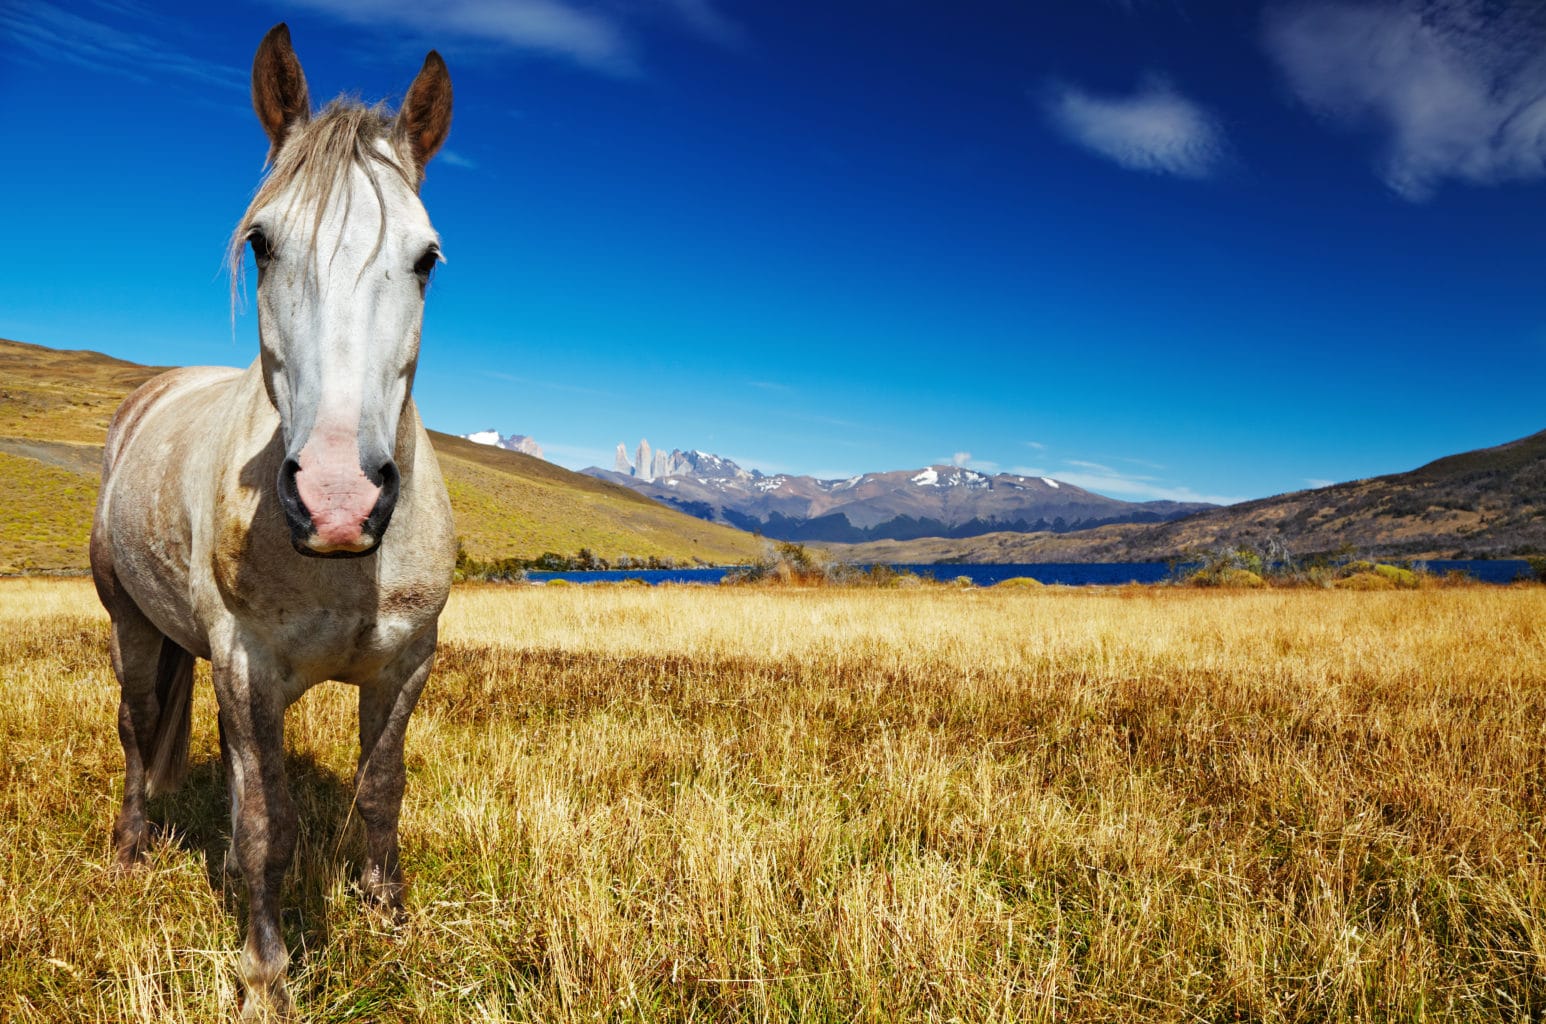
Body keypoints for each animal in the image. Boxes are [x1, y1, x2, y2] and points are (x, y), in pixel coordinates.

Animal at [91, 24, 454, 1020]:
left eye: (426, 259)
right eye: (260, 244)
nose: (338, 499)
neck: (339, 566)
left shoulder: (405, 663)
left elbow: (380, 792)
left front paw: (390, 920)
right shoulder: (248, 669)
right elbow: (268, 824)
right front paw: (266, 975)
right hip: (134, 626)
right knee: (138, 730)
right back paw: (131, 851)